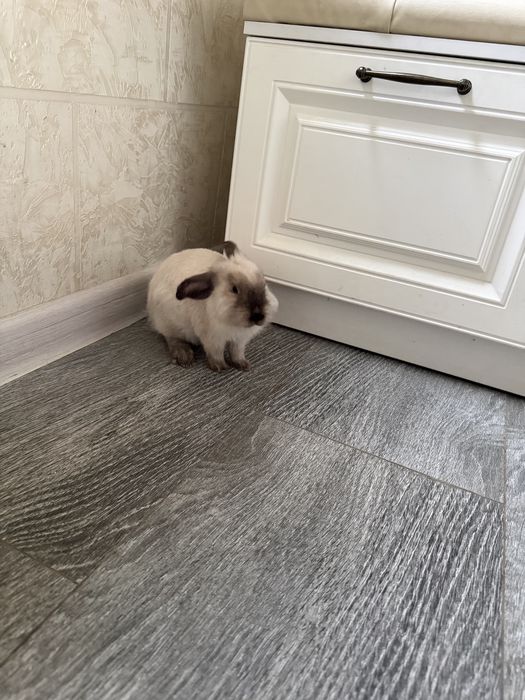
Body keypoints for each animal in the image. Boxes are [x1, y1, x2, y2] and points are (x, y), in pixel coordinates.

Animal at [147, 242, 279, 371]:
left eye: (264, 284)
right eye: (234, 289)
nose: (258, 315)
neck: (234, 323)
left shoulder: (239, 340)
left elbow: (237, 352)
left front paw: (243, 365)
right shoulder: (213, 339)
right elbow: (216, 353)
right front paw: (220, 367)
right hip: (170, 325)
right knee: (172, 339)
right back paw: (185, 357)